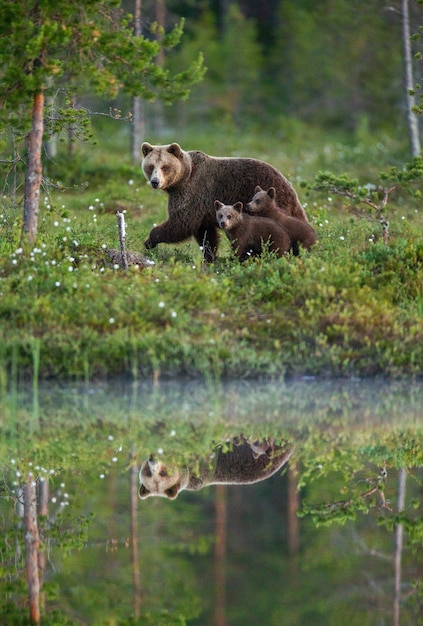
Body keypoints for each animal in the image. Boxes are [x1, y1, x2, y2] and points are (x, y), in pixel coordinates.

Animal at [142, 141, 308, 260]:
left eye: (165, 167)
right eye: (151, 166)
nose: (155, 182)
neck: (183, 178)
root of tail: (290, 189)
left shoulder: (192, 192)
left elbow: (181, 223)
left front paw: (149, 240)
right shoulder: (204, 209)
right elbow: (206, 234)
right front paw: (210, 256)